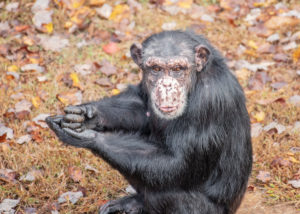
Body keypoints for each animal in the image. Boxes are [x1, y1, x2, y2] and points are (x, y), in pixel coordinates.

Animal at [46, 30, 253, 214]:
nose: (167, 85)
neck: (197, 78)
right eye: (156, 69)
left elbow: (176, 162)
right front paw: (89, 114)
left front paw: (91, 137)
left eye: (178, 69)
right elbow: (143, 107)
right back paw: (134, 203)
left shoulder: (209, 102)